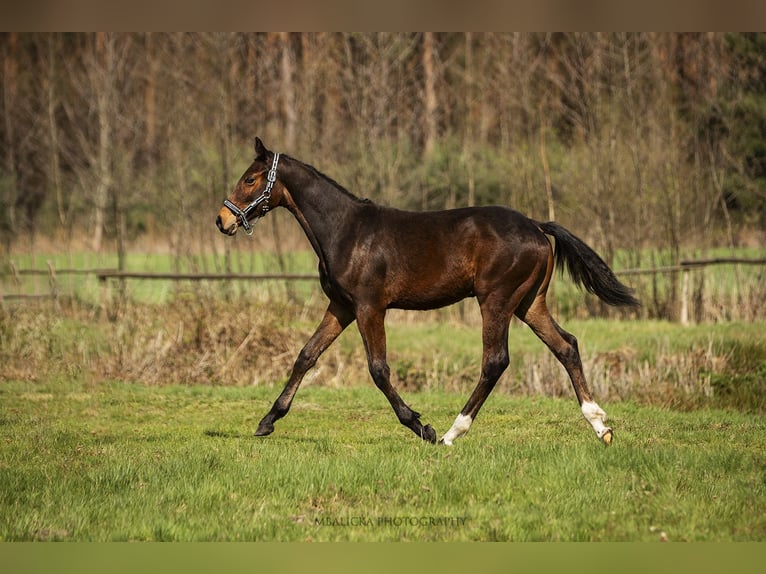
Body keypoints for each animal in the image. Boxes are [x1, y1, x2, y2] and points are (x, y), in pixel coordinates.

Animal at [218, 137, 640, 448]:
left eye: (251, 180)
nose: (222, 221)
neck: (346, 231)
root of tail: (536, 226)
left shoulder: (370, 307)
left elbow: (378, 369)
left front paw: (421, 426)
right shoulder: (341, 306)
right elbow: (306, 356)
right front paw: (267, 421)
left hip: (497, 300)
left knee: (495, 360)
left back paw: (453, 433)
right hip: (528, 303)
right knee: (566, 345)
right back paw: (601, 426)